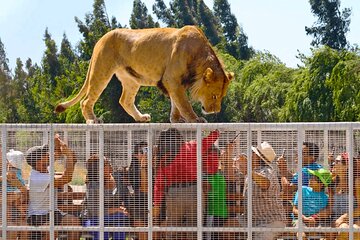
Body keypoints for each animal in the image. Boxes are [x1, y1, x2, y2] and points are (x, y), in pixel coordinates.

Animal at [53, 25, 233, 124]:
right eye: (214, 96)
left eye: (222, 97)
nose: (215, 112)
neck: (199, 55)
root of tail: (100, 39)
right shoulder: (172, 79)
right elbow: (184, 103)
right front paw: (195, 119)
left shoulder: (174, 83)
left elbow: (176, 103)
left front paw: (176, 120)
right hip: (101, 71)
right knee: (86, 101)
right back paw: (93, 120)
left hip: (131, 79)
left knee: (124, 100)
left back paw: (141, 118)